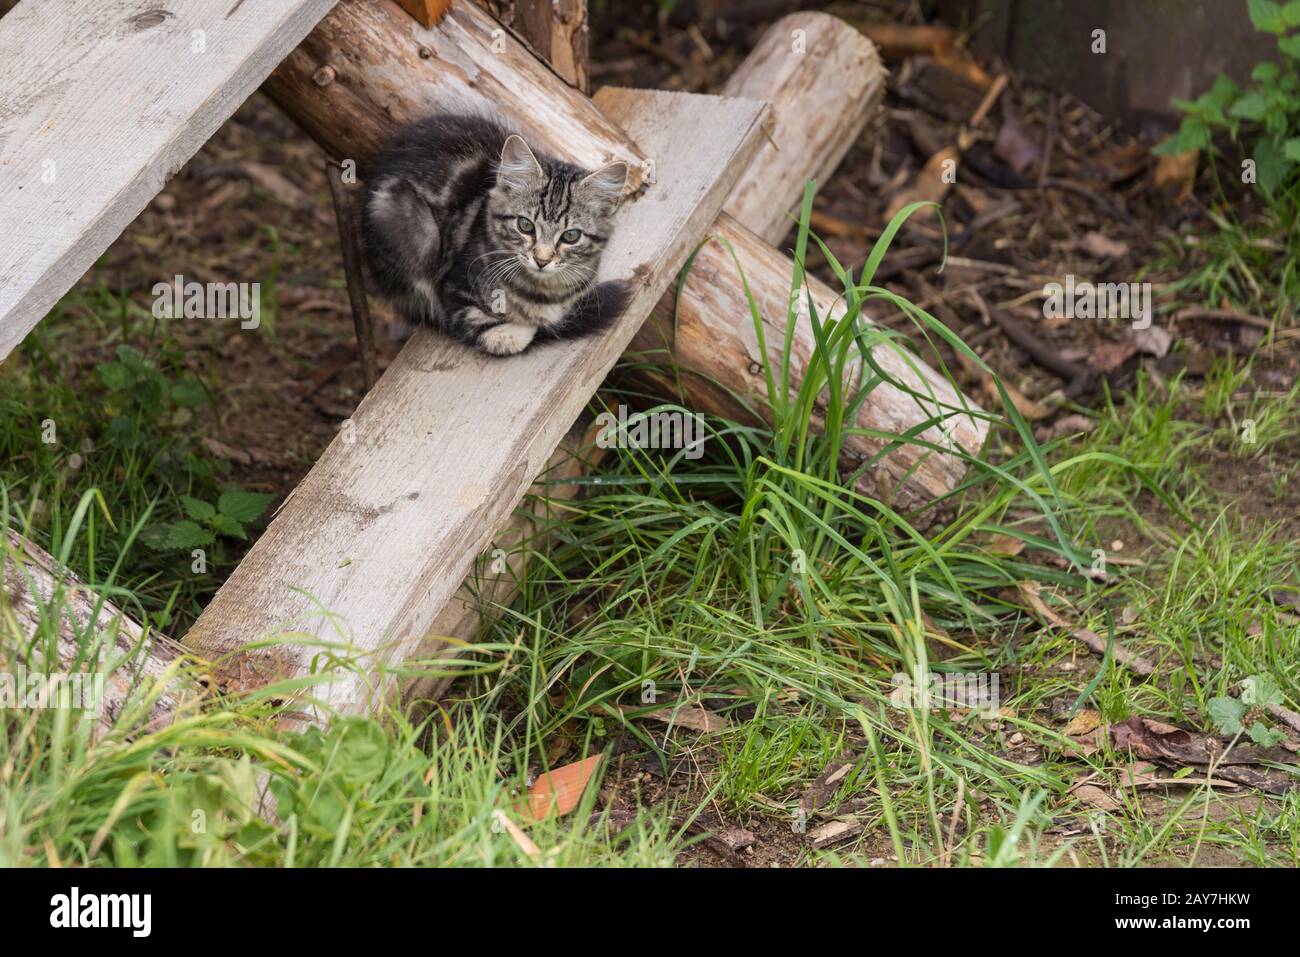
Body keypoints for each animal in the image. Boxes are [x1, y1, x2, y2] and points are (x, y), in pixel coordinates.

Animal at [361, 113, 629, 358]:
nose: (541, 260)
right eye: (525, 225)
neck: (543, 291)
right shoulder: (453, 287)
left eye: (571, 236)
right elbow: (490, 329)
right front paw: (521, 330)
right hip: (408, 227)